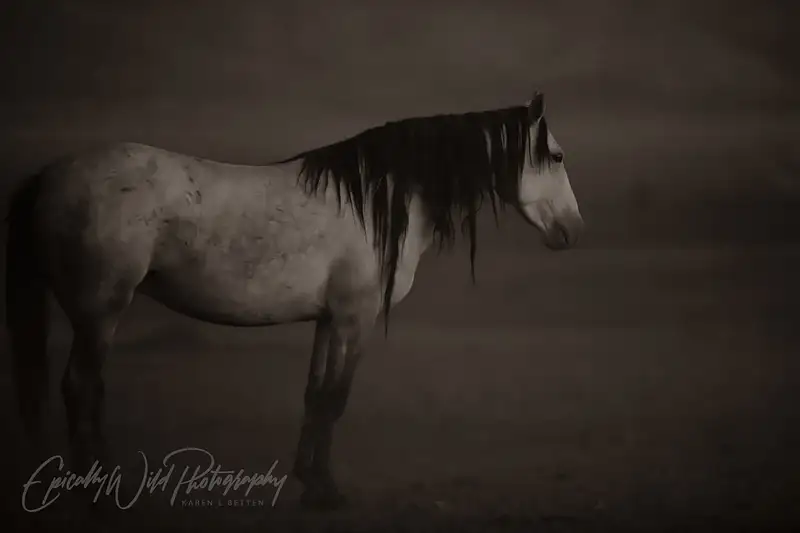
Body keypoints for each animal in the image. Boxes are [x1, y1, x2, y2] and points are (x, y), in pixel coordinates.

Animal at [5, 92, 583, 509]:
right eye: (555, 156)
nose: (574, 231)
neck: (377, 200)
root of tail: (49, 176)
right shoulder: (355, 318)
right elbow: (336, 398)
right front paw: (328, 492)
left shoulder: (329, 319)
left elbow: (315, 395)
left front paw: (310, 481)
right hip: (100, 312)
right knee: (82, 387)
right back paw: (102, 489)